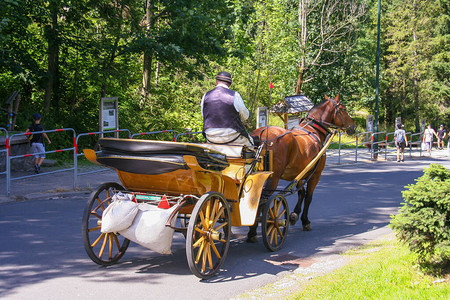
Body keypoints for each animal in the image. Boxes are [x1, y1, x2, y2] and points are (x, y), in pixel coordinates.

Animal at [248, 94, 356, 241]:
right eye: (344, 109)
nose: (353, 127)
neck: (313, 130)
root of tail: (261, 133)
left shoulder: (299, 173)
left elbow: (301, 193)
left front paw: (294, 215)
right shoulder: (315, 175)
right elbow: (309, 197)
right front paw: (305, 221)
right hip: (273, 177)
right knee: (262, 200)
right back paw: (255, 230)